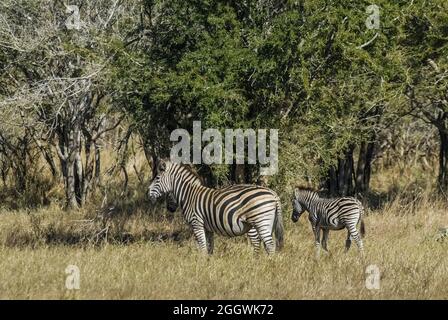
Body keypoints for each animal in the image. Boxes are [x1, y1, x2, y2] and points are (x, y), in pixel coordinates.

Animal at [149, 160, 286, 255]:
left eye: (157, 178)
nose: (148, 193)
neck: (190, 195)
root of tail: (272, 193)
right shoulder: (208, 227)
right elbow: (209, 247)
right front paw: (209, 264)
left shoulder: (196, 223)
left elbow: (202, 247)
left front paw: (201, 264)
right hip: (267, 223)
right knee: (264, 244)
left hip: (261, 221)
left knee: (269, 245)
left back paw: (268, 265)